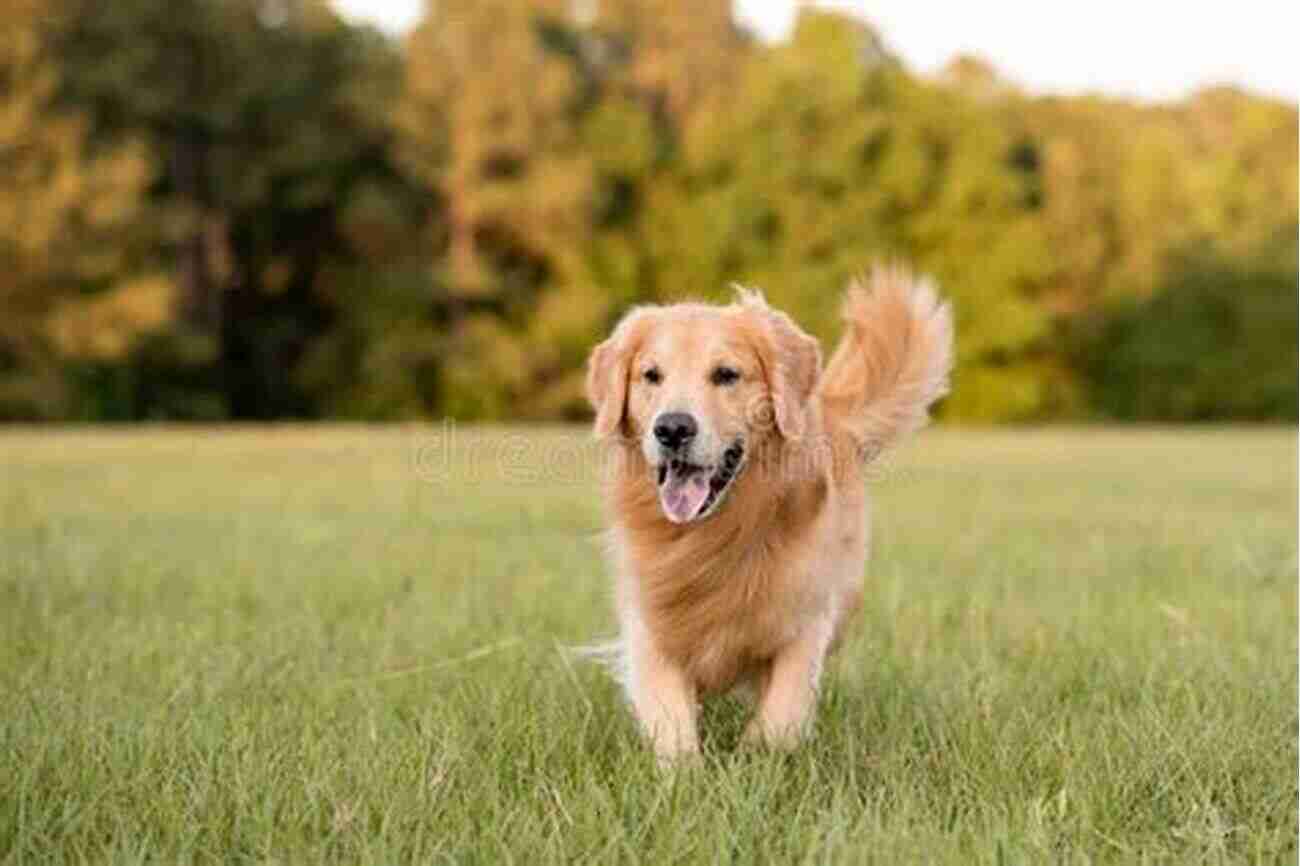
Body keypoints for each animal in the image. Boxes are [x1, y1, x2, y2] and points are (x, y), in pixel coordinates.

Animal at [585, 265, 951, 764]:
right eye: (651, 375)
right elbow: (672, 722)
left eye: (726, 374)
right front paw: (686, 774)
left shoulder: (806, 619)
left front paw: (756, 762)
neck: (713, 537)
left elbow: (781, 715)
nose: (672, 428)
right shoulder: (650, 627)